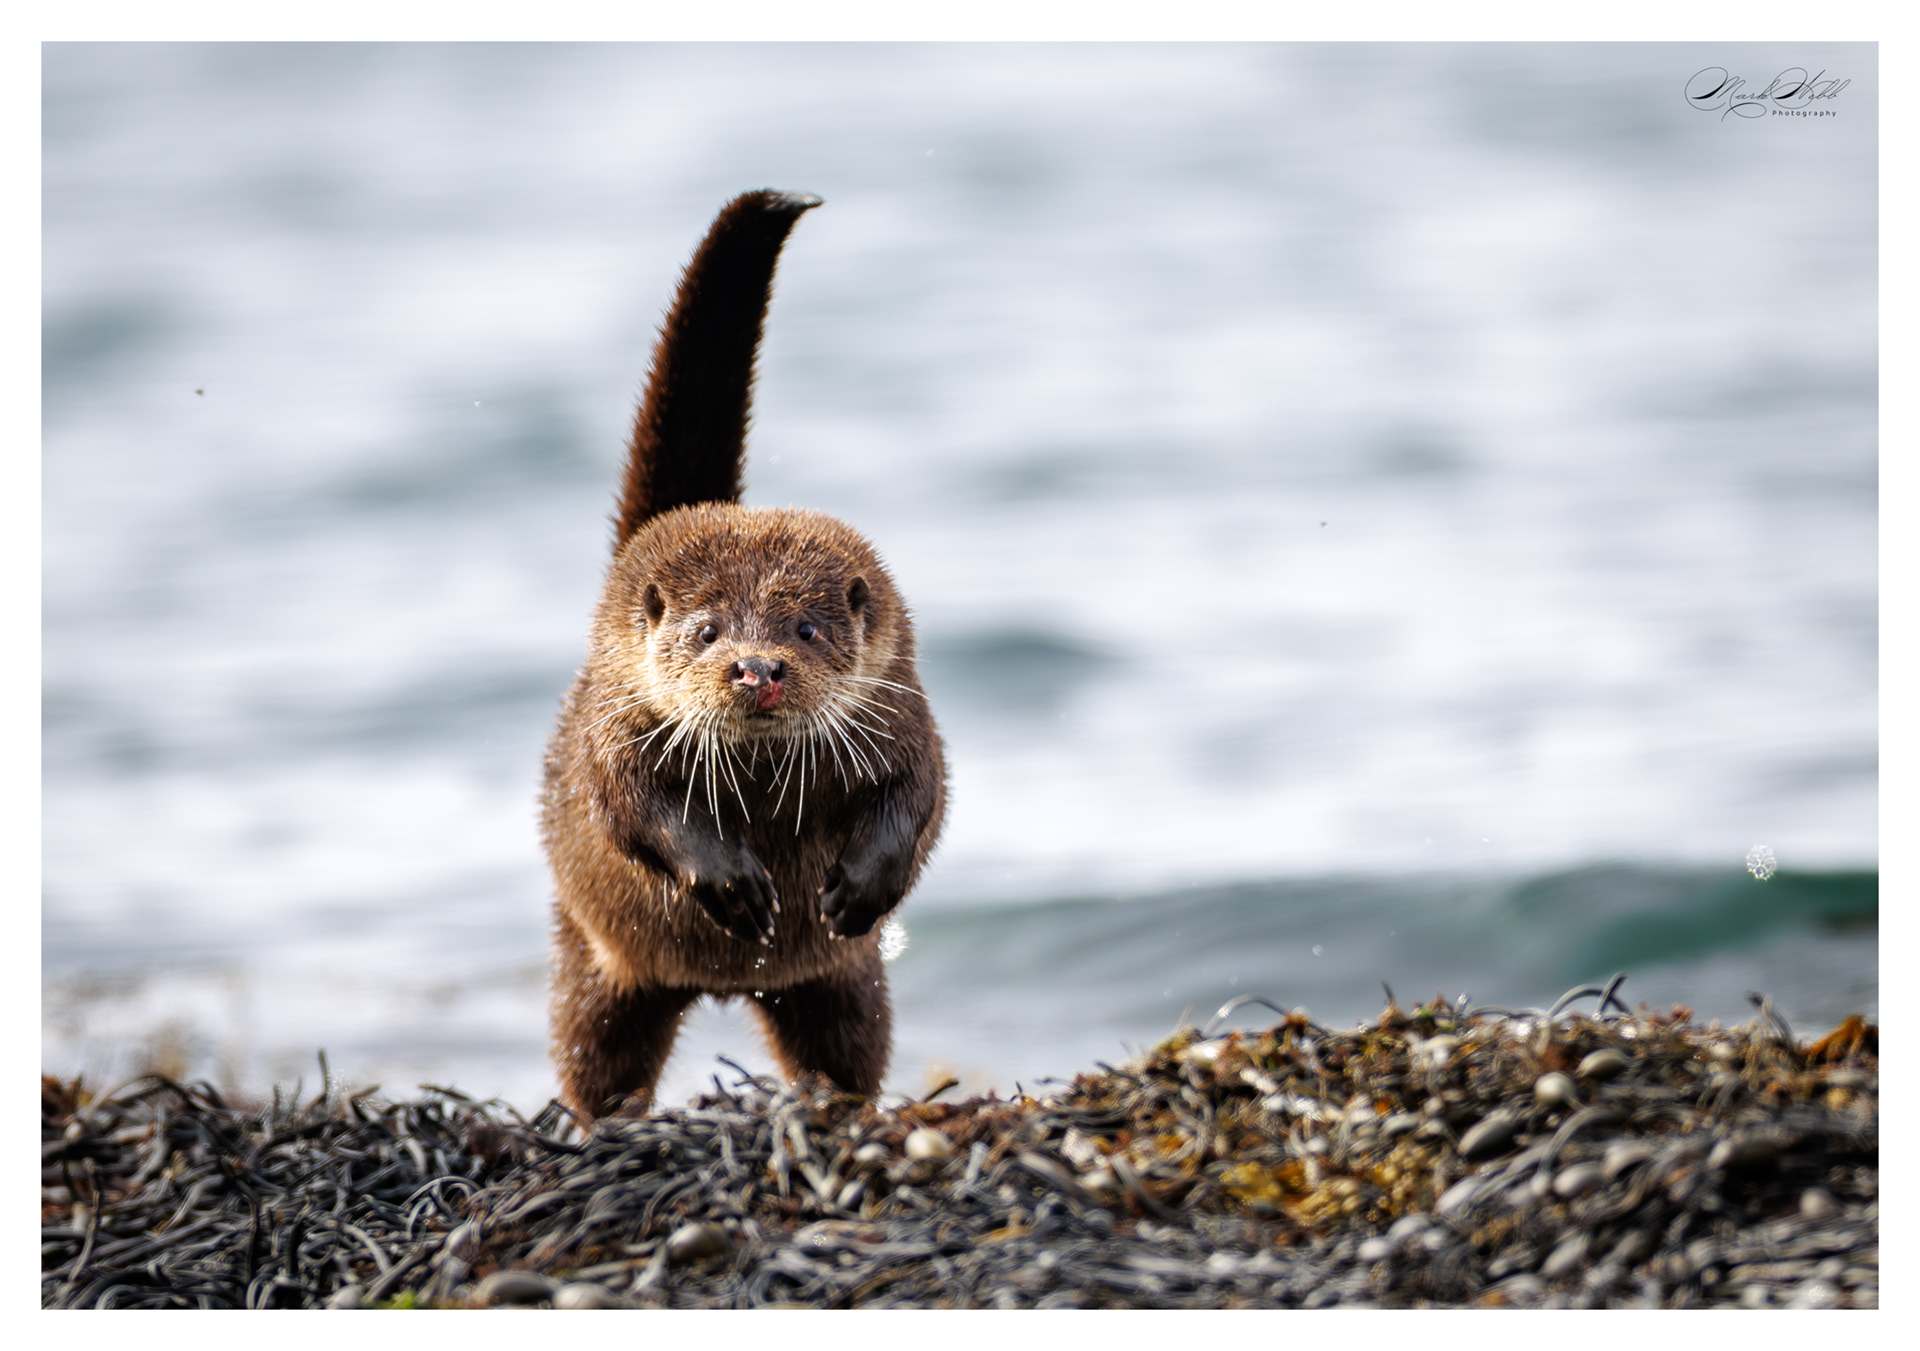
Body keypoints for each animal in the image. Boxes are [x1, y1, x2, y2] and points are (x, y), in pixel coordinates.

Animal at [542, 190, 947, 1121]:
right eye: (707, 629)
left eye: (805, 628)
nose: (757, 668)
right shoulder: (614, 725)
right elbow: (631, 804)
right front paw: (730, 880)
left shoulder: (903, 711)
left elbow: (919, 792)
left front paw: (858, 887)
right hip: (593, 967)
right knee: (594, 1052)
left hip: (843, 987)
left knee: (844, 1045)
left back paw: (832, 1107)